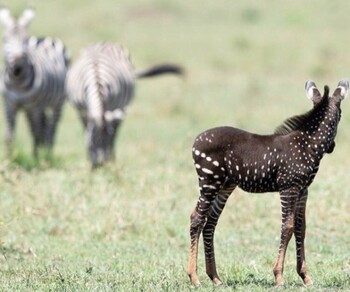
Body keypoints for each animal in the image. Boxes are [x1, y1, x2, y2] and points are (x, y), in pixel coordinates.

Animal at [0, 7, 69, 157]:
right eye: (5, 39)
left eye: (25, 40)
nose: (17, 67)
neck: (17, 83)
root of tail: (44, 38)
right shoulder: (9, 104)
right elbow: (9, 136)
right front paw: (9, 157)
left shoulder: (34, 107)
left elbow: (36, 133)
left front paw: (36, 158)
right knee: (44, 125)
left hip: (57, 102)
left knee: (51, 128)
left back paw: (48, 153)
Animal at [187, 80, 348, 288]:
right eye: (341, 115)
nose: (332, 148)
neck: (307, 144)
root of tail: (196, 140)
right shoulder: (289, 187)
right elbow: (287, 227)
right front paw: (279, 276)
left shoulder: (303, 190)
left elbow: (301, 228)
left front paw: (305, 276)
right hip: (209, 181)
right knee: (197, 220)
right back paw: (194, 277)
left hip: (224, 186)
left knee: (209, 223)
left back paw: (215, 277)